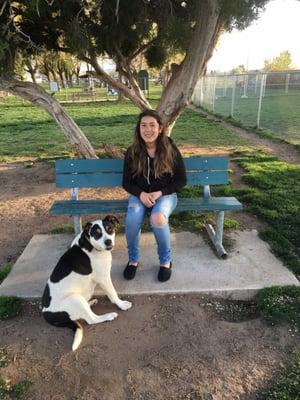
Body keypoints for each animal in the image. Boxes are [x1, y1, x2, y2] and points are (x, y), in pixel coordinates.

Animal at [41, 216, 131, 350]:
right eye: (97, 233)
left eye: (109, 229)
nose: (108, 242)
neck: (90, 245)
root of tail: (45, 314)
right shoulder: (103, 278)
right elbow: (113, 294)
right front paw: (122, 304)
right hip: (75, 299)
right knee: (92, 319)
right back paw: (108, 316)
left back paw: (91, 302)